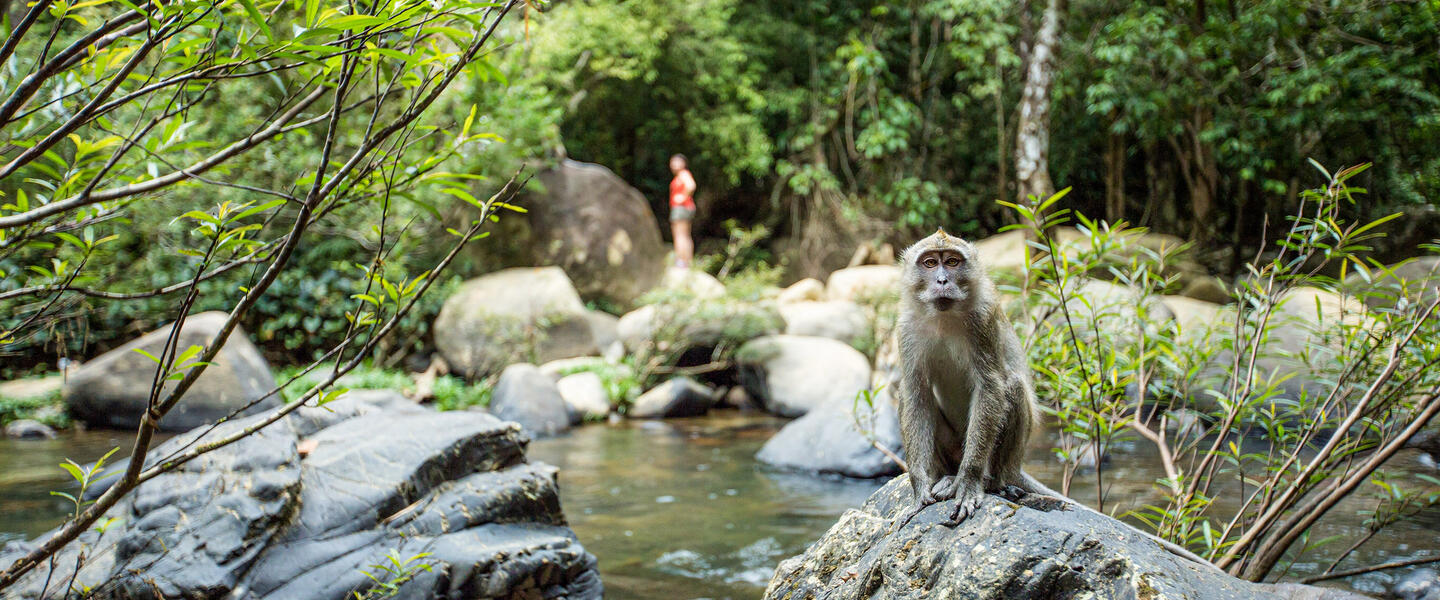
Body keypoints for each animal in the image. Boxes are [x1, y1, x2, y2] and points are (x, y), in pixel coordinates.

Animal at [892, 227, 1221, 569]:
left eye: (953, 262)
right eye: (930, 263)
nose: (943, 280)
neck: (944, 317)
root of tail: (1015, 466)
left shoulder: (983, 319)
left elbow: (991, 386)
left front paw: (968, 484)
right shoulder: (906, 328)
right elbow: (914, 395)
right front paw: (920, 488)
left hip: (1004, 457)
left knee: (1012, 387)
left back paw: (988, 480)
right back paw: (945, 477)